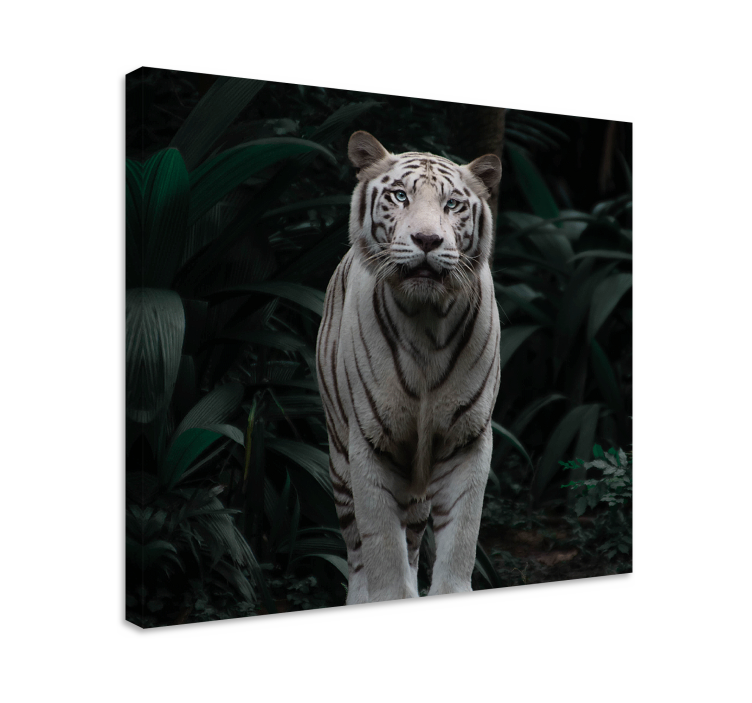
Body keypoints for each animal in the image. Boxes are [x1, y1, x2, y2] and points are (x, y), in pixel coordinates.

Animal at [315, 131, 502, 604]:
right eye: (400, 196)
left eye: (452, 204)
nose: (427, 240)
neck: (426, 323)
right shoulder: (370, 443)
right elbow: (382, 551)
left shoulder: (467, 439)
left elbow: (460, 539)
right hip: (339, 460)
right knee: (357, 553)